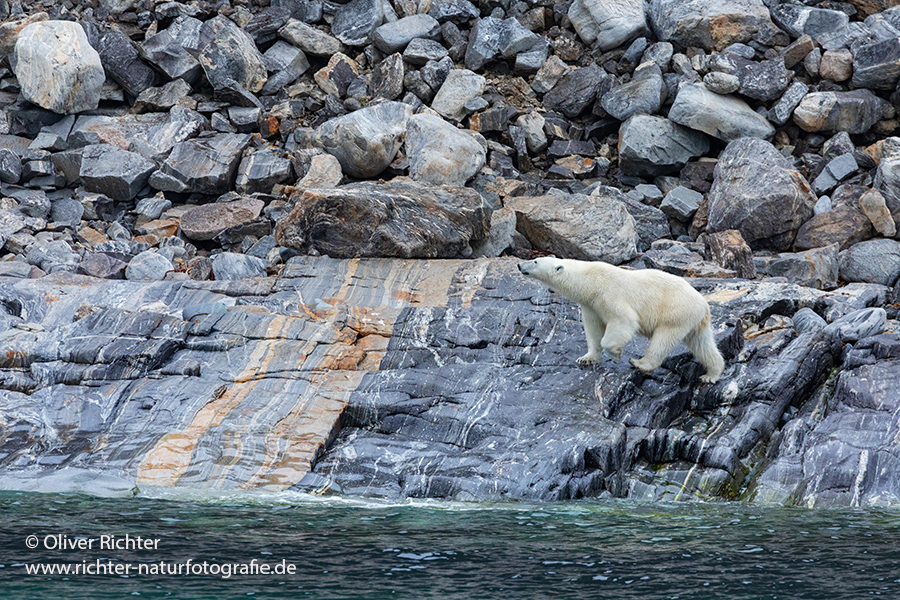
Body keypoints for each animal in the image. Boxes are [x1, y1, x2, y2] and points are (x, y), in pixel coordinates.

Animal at [518, 256, 725, 383]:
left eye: (535, 261)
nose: (520, 265)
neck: (589, 281)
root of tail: (704, 305)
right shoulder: (591, 305)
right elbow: (593, 330)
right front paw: (586, 358)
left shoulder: (609, 294)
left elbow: (624, 321)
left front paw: (616, 354)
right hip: (693, 320)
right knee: (702, 344)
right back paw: (711, 374)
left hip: (676, 311)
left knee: (664, 338)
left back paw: (640, 362)